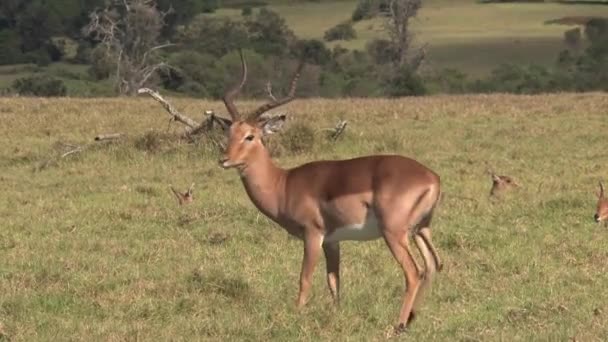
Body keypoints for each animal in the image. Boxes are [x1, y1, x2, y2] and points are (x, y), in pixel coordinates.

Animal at [217, 52, 442, 332]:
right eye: (229, 132)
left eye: (250, 136)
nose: (224, 160)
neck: (284, 184)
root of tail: (432, 178)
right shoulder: (333, 241)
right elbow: (334, 281)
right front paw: (337, 316)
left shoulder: (313, 235)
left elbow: (305, 278)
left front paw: (296, 316)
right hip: (421, 230)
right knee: (433, 265)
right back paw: (411, 319)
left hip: (394, 233)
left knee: (414, 272)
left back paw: (398, 325)